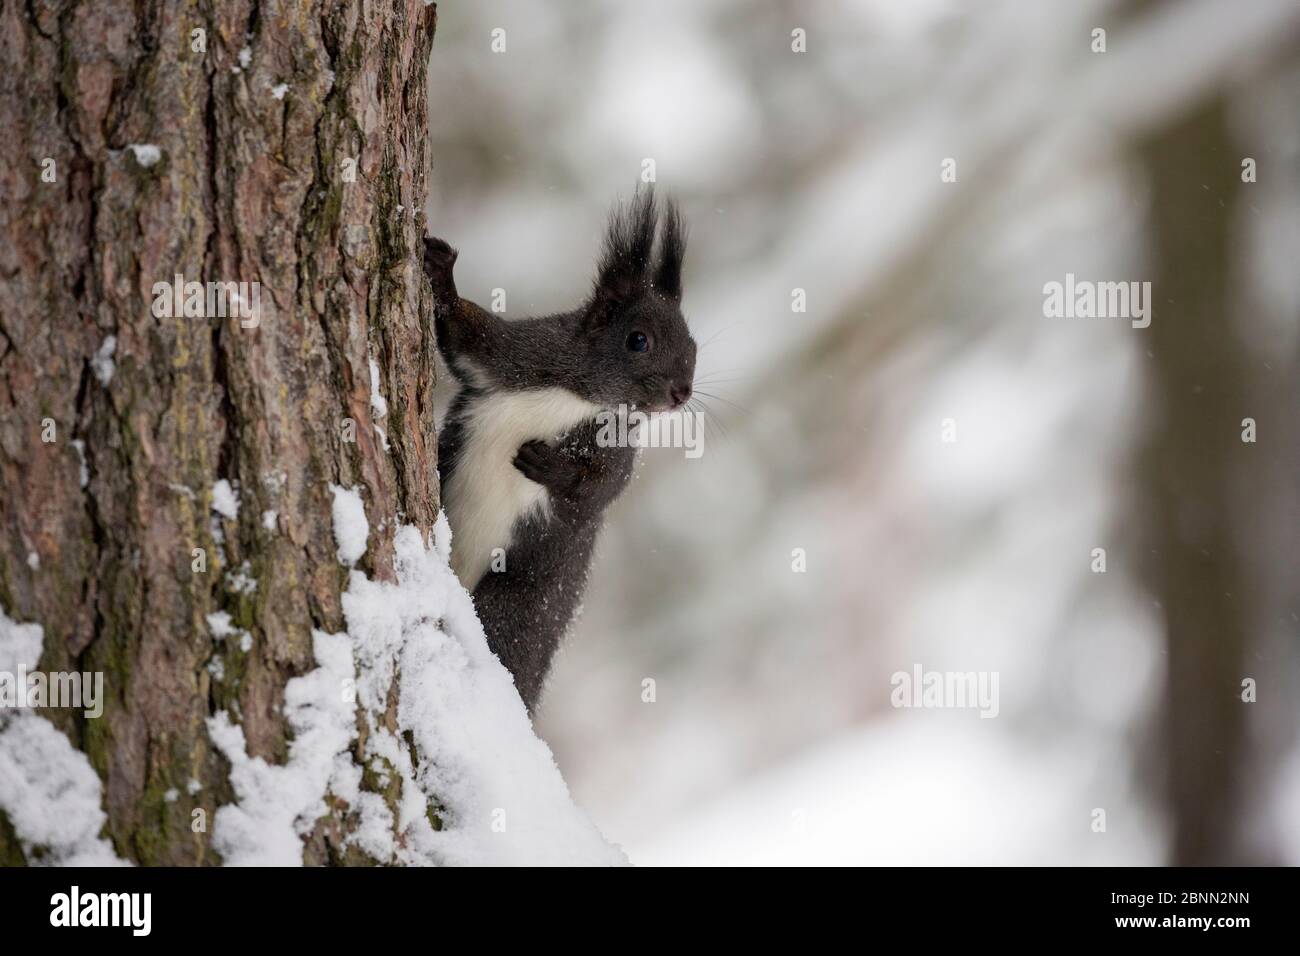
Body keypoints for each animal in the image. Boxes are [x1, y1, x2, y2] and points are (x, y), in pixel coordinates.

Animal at [421, 187, 696, 712]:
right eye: (638, 340)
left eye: (692, 346)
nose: (682, 393)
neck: (582, 395)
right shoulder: (521, 354)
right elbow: (465, 338)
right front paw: (440, 273)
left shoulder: (618, 446)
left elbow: (603, 489)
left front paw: (550, 466)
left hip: (518, 598)